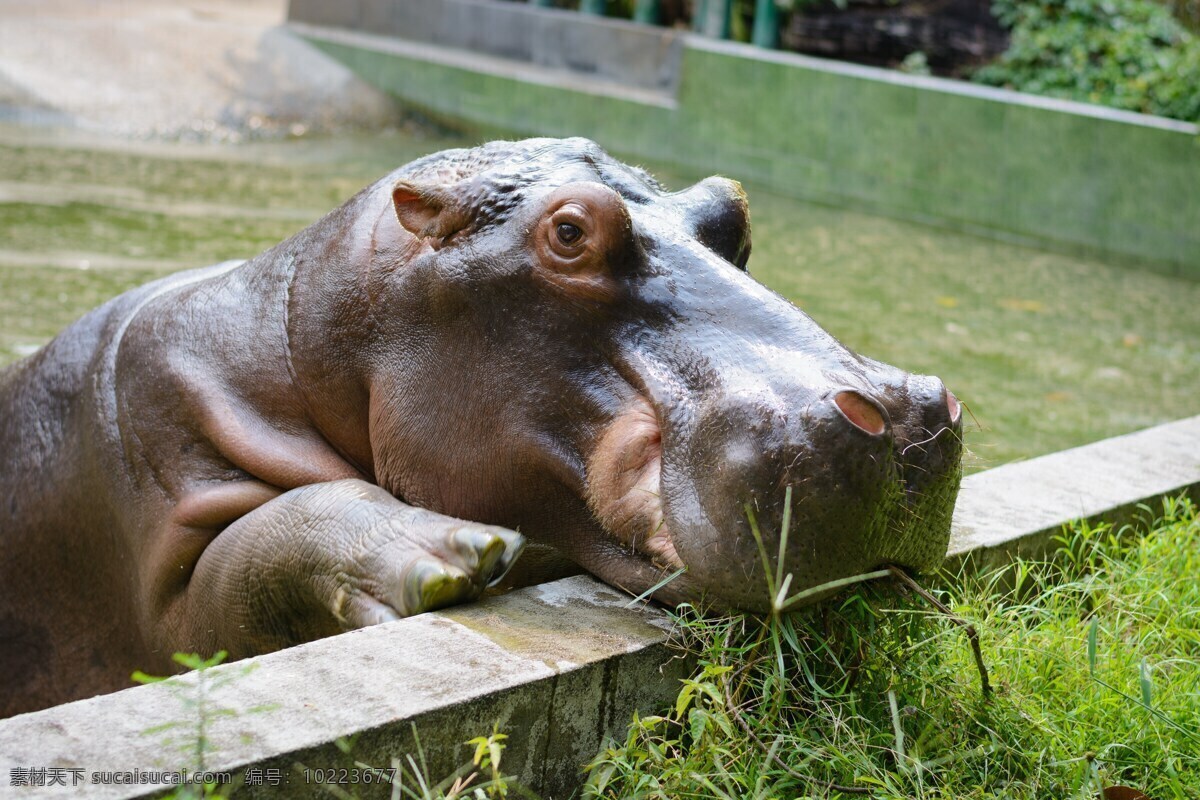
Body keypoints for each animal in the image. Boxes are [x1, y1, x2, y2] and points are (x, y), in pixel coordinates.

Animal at [0, 139, 960, 719]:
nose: (903, 417)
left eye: (733, 210)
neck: (308, 339)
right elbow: (245, 560)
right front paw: (452, 558)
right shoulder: (161, 511)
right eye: (569, 231)